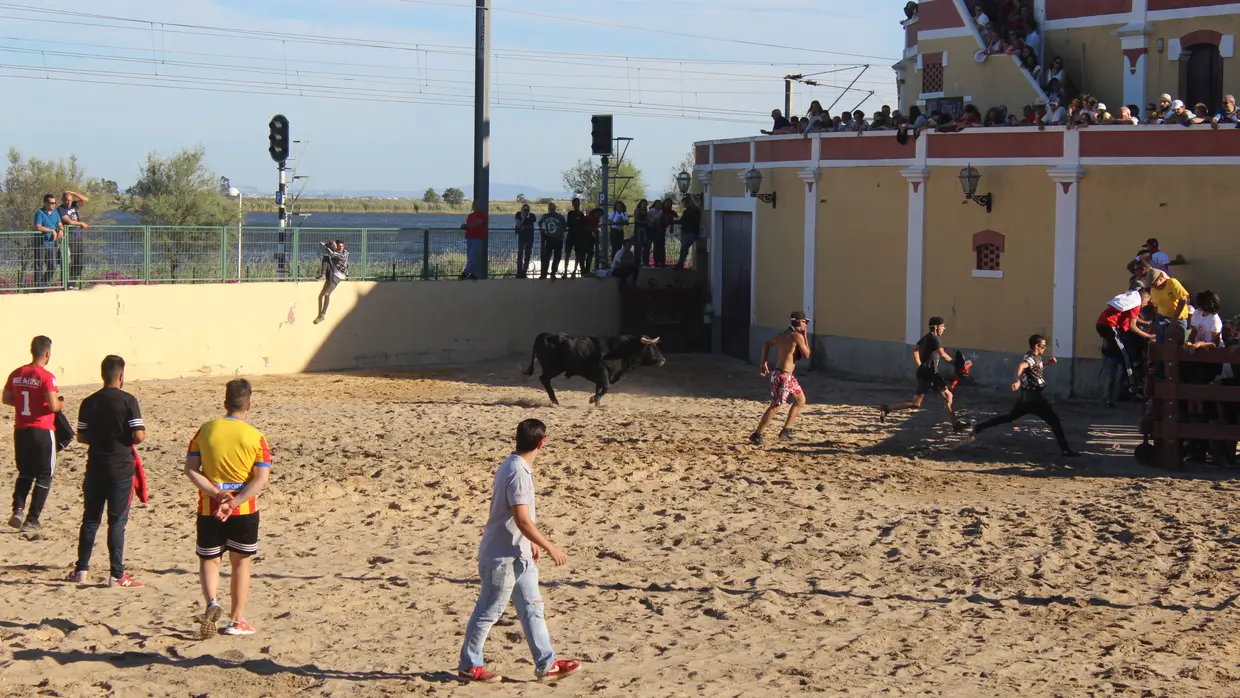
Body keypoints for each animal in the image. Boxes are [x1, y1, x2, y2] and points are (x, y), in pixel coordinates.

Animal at [518, 332, 664, 404]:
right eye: (651, 347)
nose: (663, 359)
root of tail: (545, 335)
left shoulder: (602, 375)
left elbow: (599, 388)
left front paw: (596, 402)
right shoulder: (603, 371)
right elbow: (606, 387)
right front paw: (594, 399)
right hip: (552, 368)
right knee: (544, 379)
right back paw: (555, 401)